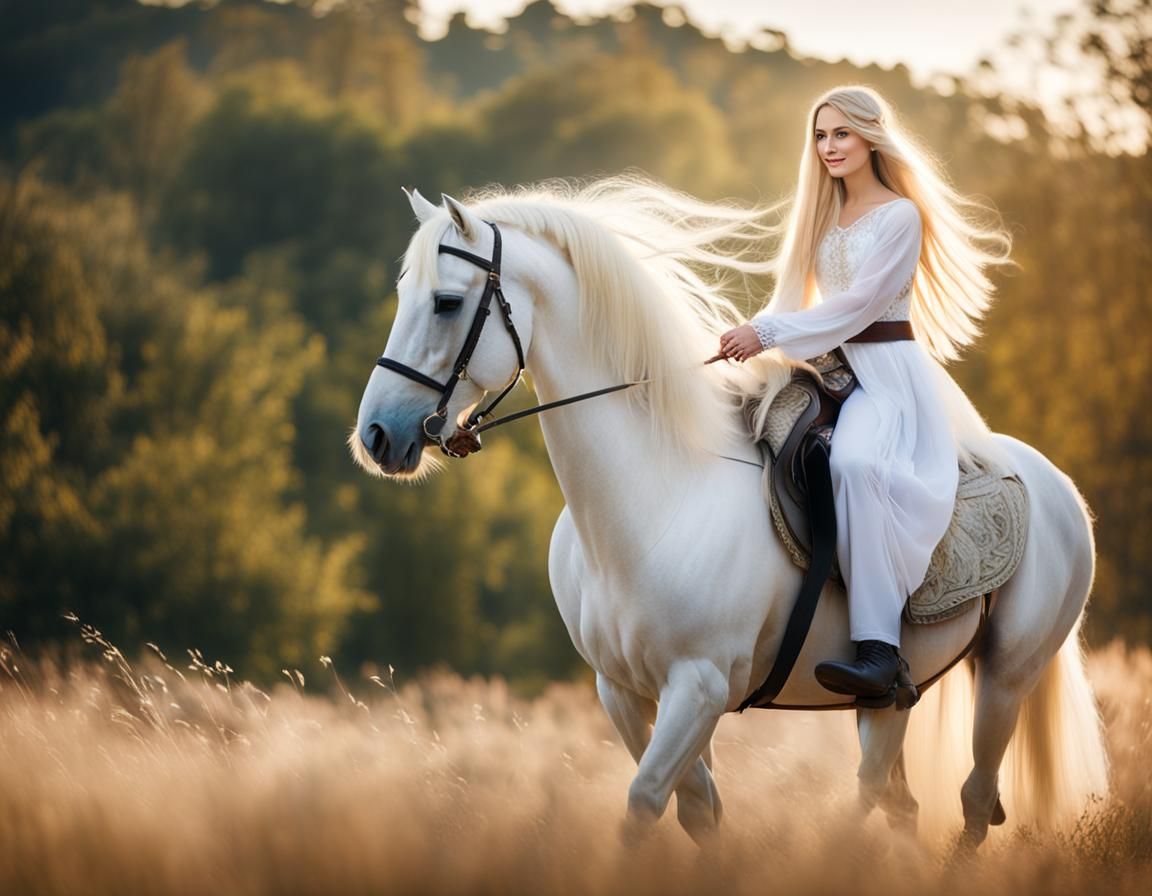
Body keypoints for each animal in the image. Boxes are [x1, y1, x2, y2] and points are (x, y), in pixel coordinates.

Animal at [350, 177, 1108, 849]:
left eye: (447, 302)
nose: (378, 436)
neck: (659, 493)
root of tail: (1053, 485)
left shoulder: (700, 685)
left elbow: (644, 804)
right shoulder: (622, 690)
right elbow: (698, 808)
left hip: (1007, 677)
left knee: (971, 801)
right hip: (896, 695)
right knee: (894, 798)